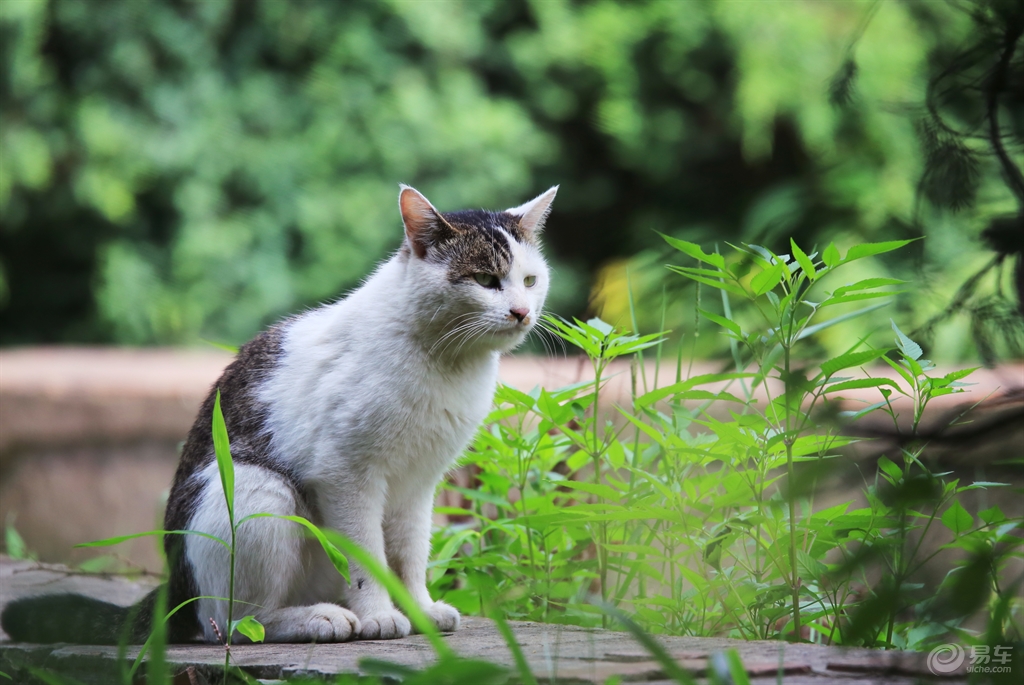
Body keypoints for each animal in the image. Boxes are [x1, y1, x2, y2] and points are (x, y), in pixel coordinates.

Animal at [2, 183, 561, 643]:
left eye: (530, 280)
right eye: (486, 279)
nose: (521, 311)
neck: (446, 361)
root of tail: (176, 588)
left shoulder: (418, 484)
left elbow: (407, 554)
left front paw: (418, 608)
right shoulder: (346, 474)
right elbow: (367, 555)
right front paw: (381, 615)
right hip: (259, 490)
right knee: (231, 624)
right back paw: (317, 619)